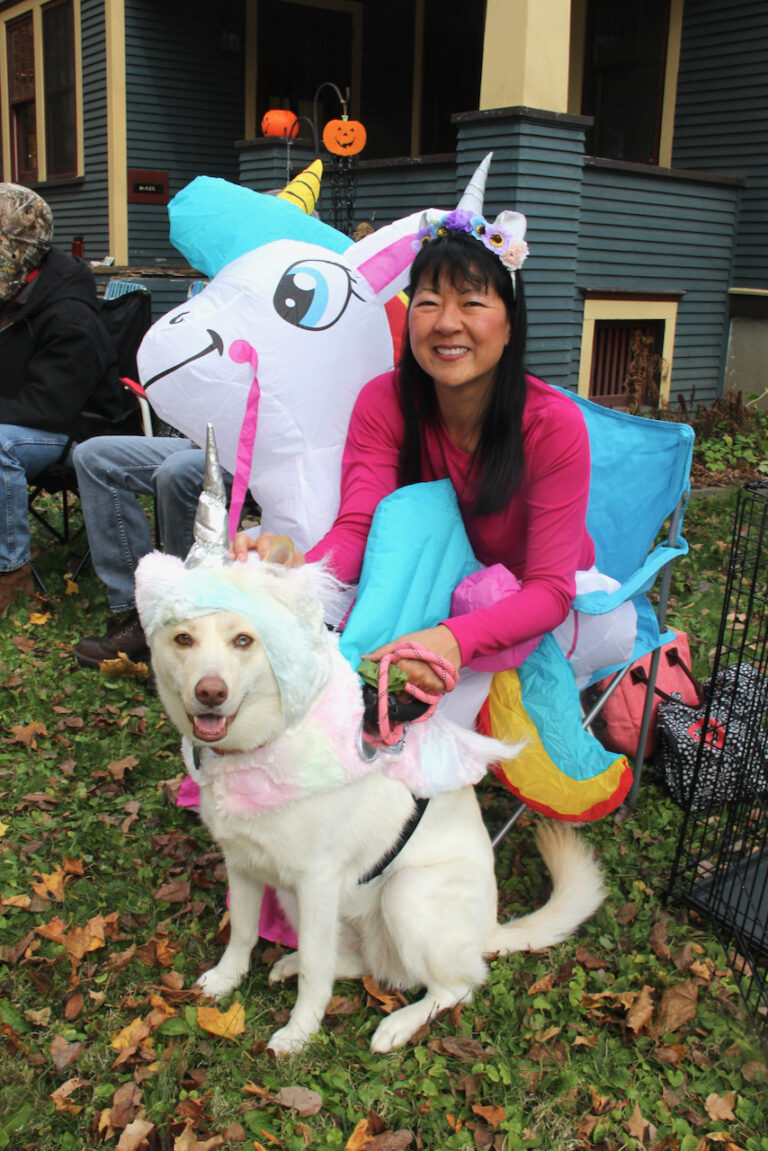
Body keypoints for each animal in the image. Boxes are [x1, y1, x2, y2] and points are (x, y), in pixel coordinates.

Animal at [138, 543, 607, 1054]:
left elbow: (316, 973)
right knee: (361, 963)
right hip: (297, 899)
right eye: (183, 639)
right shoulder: (243, 864)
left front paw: (300, 1032)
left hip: (404, 894)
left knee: (457, 985)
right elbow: (243, 931)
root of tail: (489, 931)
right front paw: (227, 979)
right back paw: (293, 963)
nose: (210, 693)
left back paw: (399, 1024)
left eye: (244, 640)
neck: (265, 743)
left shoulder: (317, 880)